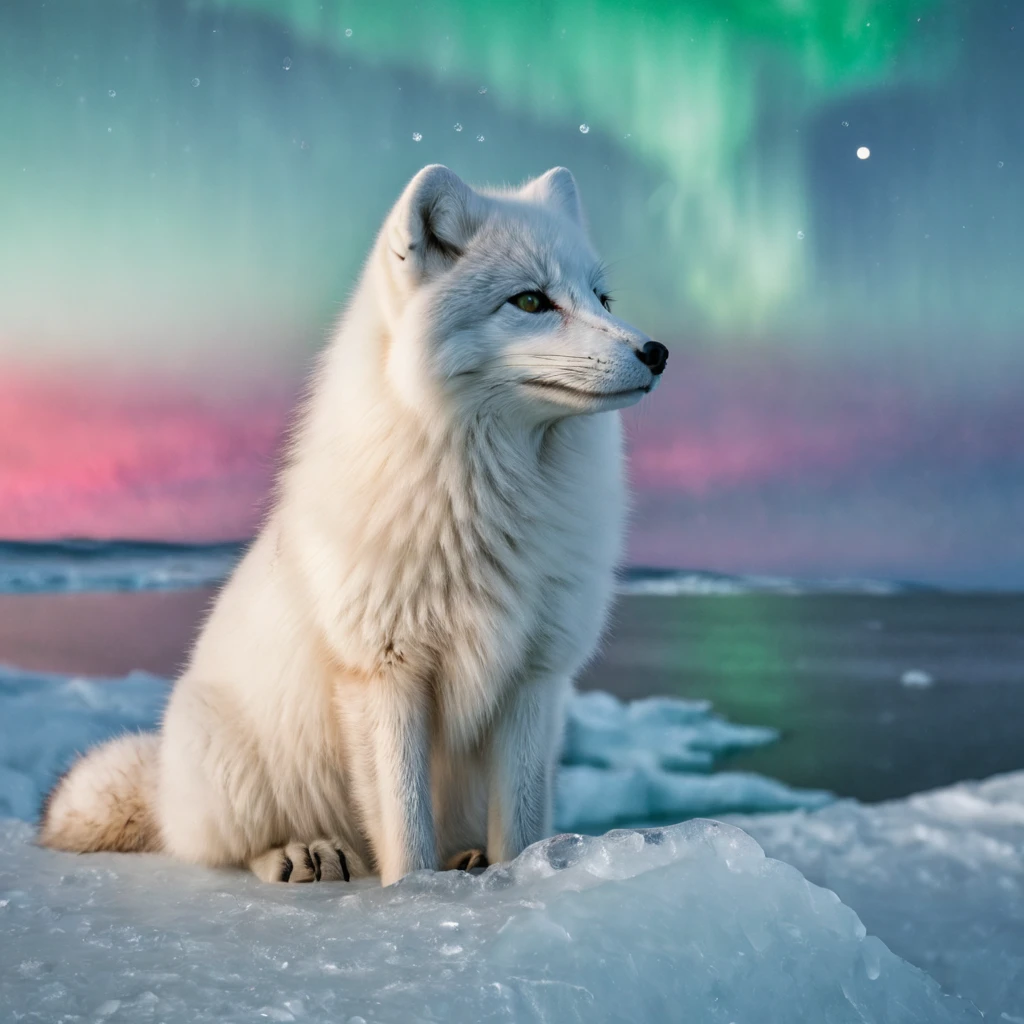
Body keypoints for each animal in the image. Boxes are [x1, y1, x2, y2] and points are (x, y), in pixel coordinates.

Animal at [39, 163, 667, 884]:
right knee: (224, 849)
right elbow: (404, 823)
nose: (657, 351)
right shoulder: (383, 671)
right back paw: (301, 852)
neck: (492, 498)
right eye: (531, 302)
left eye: (602, 298)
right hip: (234, 770)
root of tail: (163, 788)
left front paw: (512, 876)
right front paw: (414, 892)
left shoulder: (534, 676)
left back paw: (467, 859)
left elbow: (522, 824)